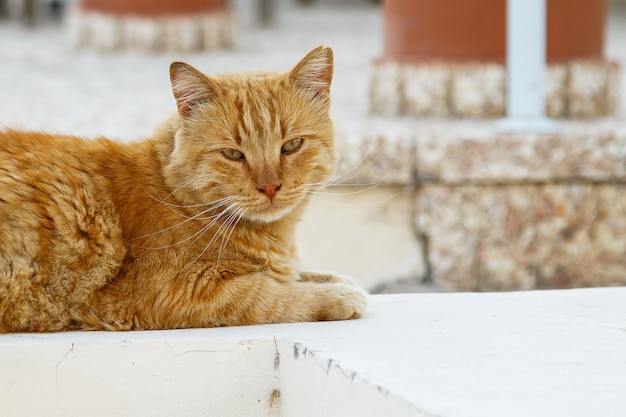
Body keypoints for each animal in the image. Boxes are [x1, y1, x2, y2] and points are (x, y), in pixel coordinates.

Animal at [0, 46, 366, 332]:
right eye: (233, 154)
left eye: (291, 146)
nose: (270, 186)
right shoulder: (172, 293)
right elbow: (269, 294)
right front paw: (335, 296)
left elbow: (297, 275)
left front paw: (335, 280)